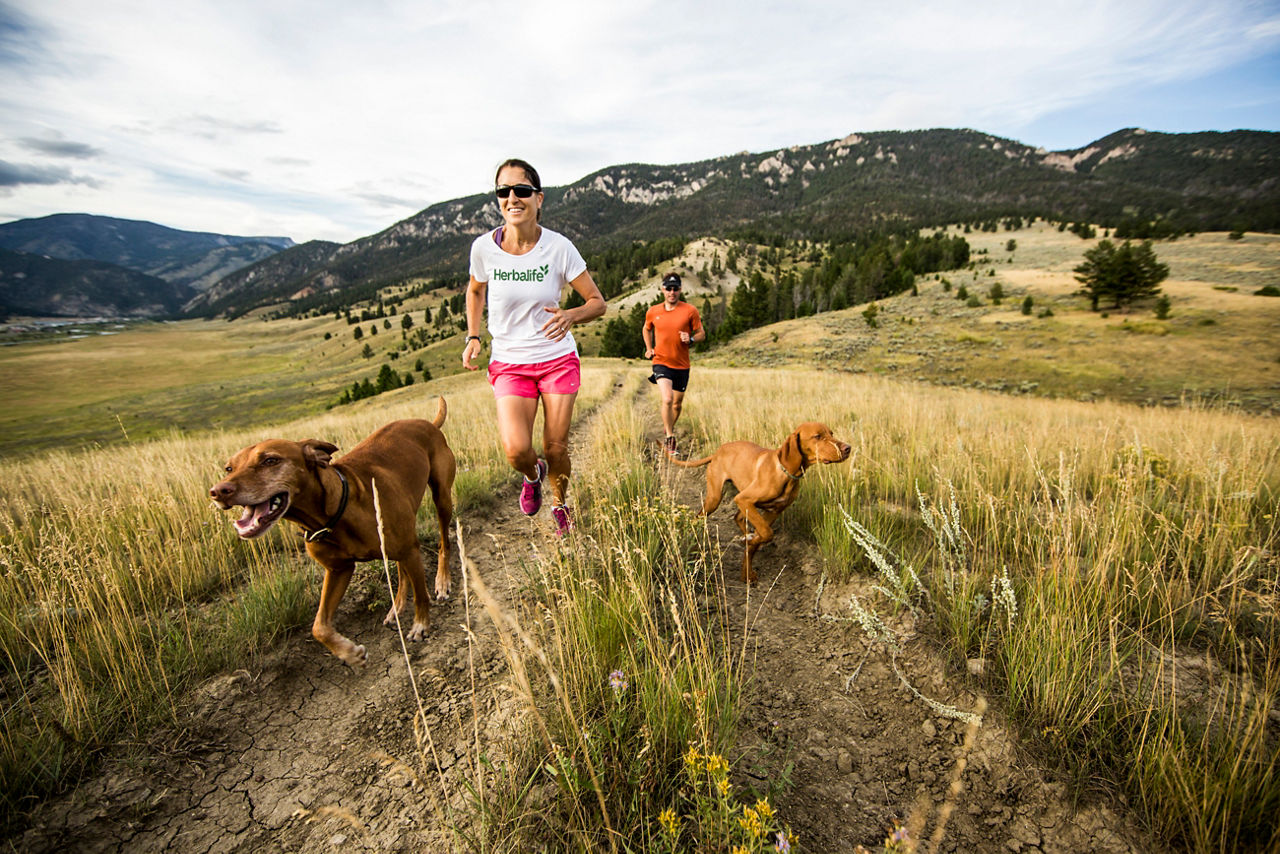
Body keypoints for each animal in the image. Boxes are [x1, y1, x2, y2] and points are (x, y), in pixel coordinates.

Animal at [670, 425, 849, 583]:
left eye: (831, 433)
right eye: (817, 436)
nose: (848, 448)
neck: (785, 472)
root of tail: (717, 451)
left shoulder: (773, 511)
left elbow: (760, 538)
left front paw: (747, 573)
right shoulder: (744, 499)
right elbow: (767, 534)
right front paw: (750, 543)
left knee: (737, 517)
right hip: (715, 498)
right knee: (698, 517)